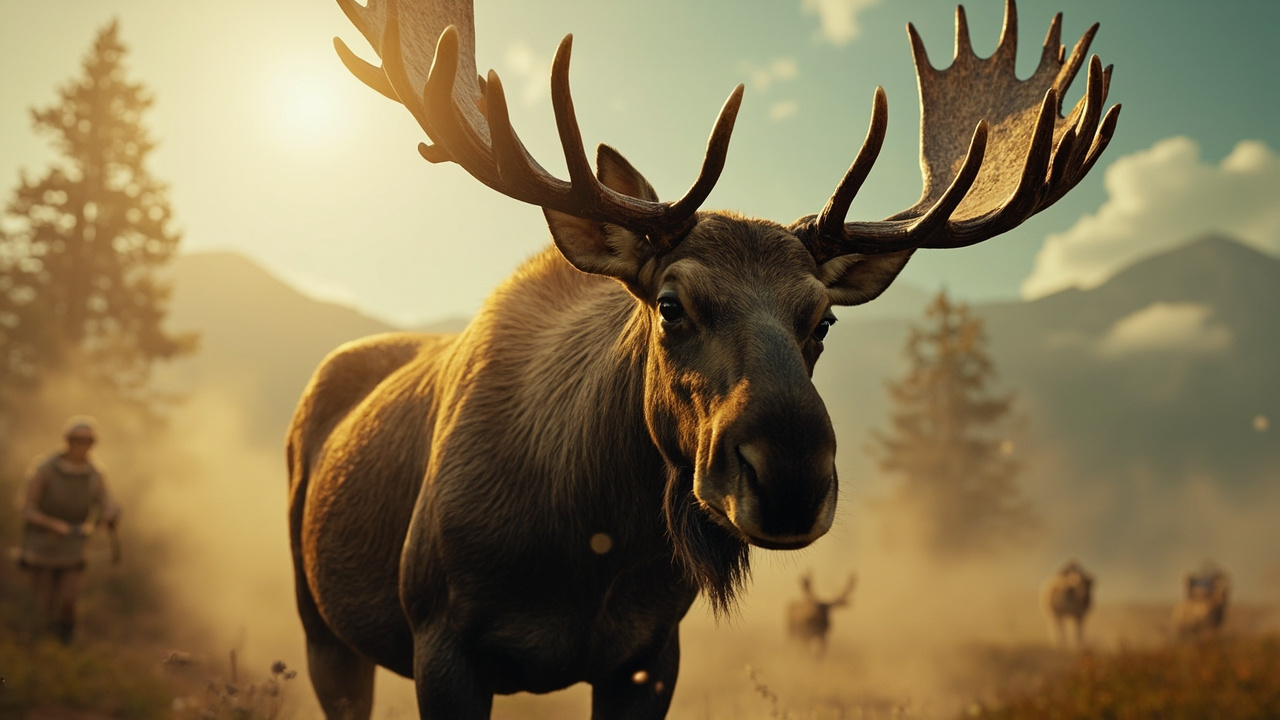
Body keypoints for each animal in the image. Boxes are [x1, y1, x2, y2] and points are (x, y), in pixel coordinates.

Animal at [287, 1, 1119, 718]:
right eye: (670, 305)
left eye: (823, 319)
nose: (791, 480)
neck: (586, 544)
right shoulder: (441, 638)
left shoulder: (652, 652)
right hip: (320, 623)